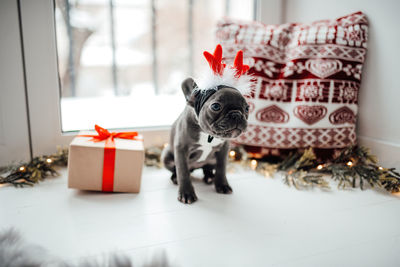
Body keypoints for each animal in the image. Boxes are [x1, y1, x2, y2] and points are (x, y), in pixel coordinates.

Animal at [161, 44, 252, 204]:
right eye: (215, 106)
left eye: (247, 108)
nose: (236, 114)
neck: (208, 134)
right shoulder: (181, 149)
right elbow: (183, 172)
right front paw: (186, 193)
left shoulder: (223, 150)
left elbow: (222, 169)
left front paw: (222, 185)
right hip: (166, 155)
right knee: (178, 170)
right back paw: (175, 178)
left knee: (208, 168)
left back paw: (209, 176)